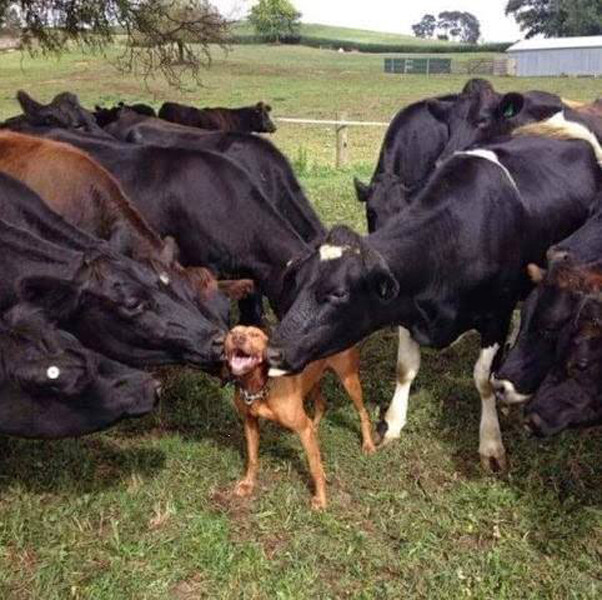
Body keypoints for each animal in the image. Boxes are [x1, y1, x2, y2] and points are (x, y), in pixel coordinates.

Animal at [225, 326, 376, 508]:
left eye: (255, 335)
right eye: (233, 332)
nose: (237, 338)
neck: (260, 387)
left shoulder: (302, 427)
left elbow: (314, 467)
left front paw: (321, 499)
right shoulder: (250, 422)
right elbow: (252, 458)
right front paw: (248, 484)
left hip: (348, 379)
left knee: (363, 413)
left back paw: (368, 444)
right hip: (313, 381)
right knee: (321, 405)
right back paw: (317, 428)